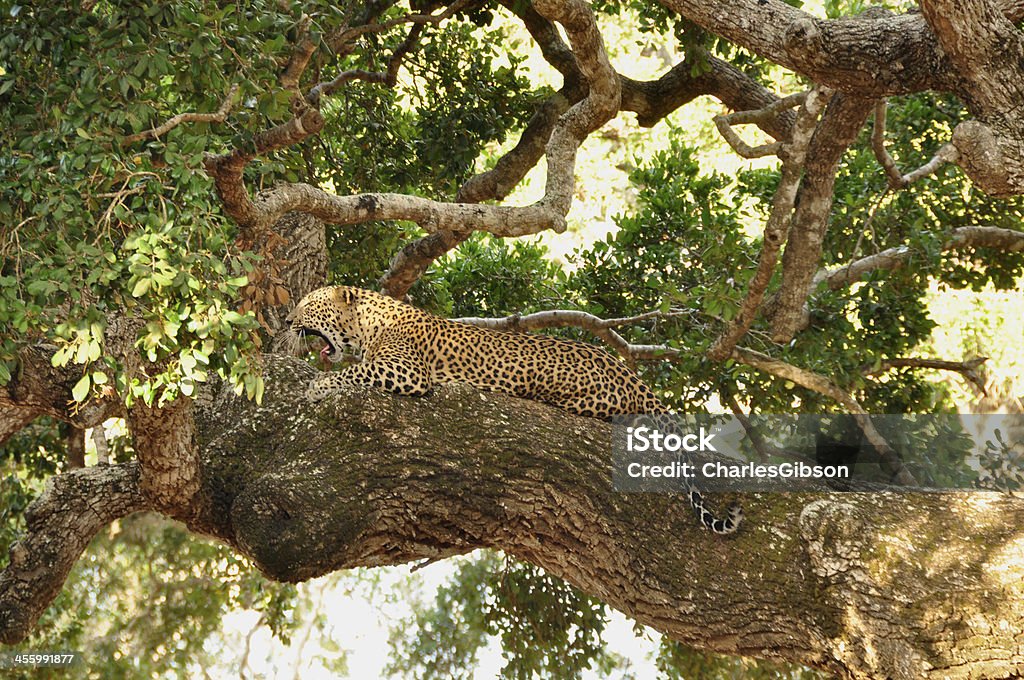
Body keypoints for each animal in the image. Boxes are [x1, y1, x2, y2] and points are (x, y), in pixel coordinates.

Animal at [284, 284, 741, 532]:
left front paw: (316, 386)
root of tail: (630, 375)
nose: (287, 322)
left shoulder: (406, 370)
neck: (367, 324)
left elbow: (351, 372)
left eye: (308, 305)